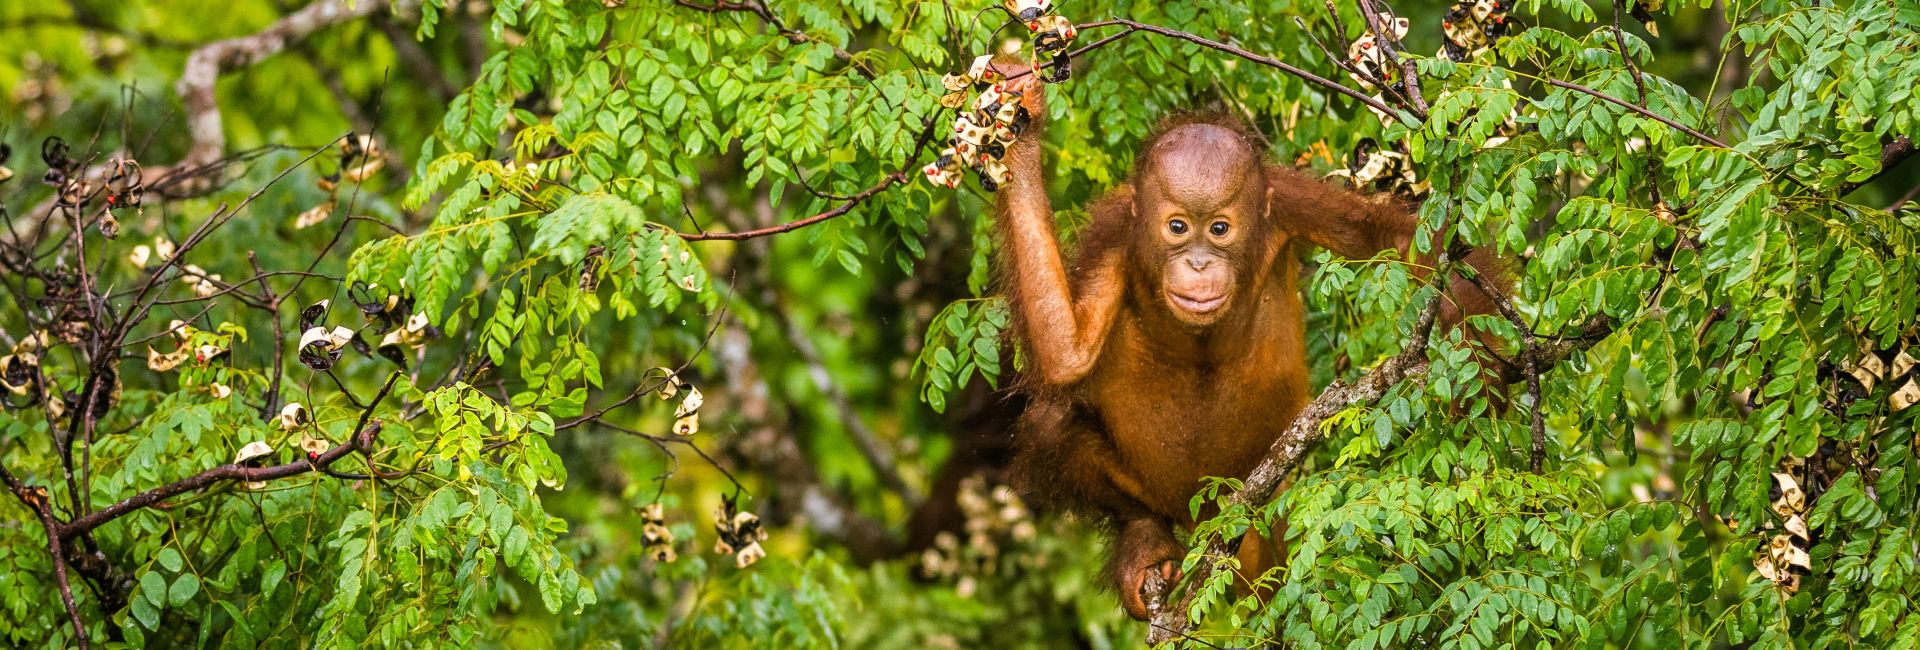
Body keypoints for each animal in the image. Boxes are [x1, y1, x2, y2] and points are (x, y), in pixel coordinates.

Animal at [986, 70, 1508, 620]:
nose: (1198, 263)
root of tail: (1213, 517)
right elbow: (1067, 353)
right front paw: (1019, 126)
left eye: (1219, 228)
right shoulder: (1115, 232)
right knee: (1049, 423)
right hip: (1166, 498)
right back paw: (1144, 539)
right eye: (1177, 227)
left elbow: (1395, 234)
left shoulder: (1290, 202)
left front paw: (1481, 370)